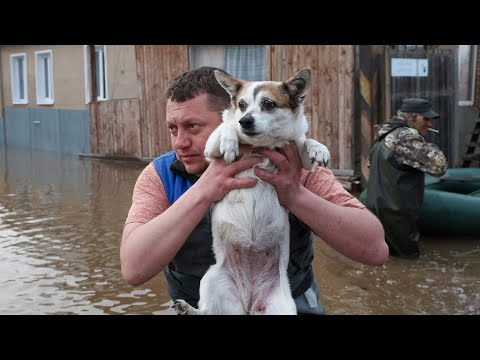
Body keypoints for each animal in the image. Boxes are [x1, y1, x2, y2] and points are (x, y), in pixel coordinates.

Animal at [173, 68, 330, 316]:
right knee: (206, 311)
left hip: (283, 306)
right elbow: (226, 127)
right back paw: (187, 308)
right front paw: (230, 141)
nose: (244, 120)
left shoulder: (299, 157)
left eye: (268, 103)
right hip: (211, 279)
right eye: (241, 105)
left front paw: (318, 148)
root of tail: (247, 304)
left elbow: (305, 141)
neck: (262, 146)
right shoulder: (209, 148)